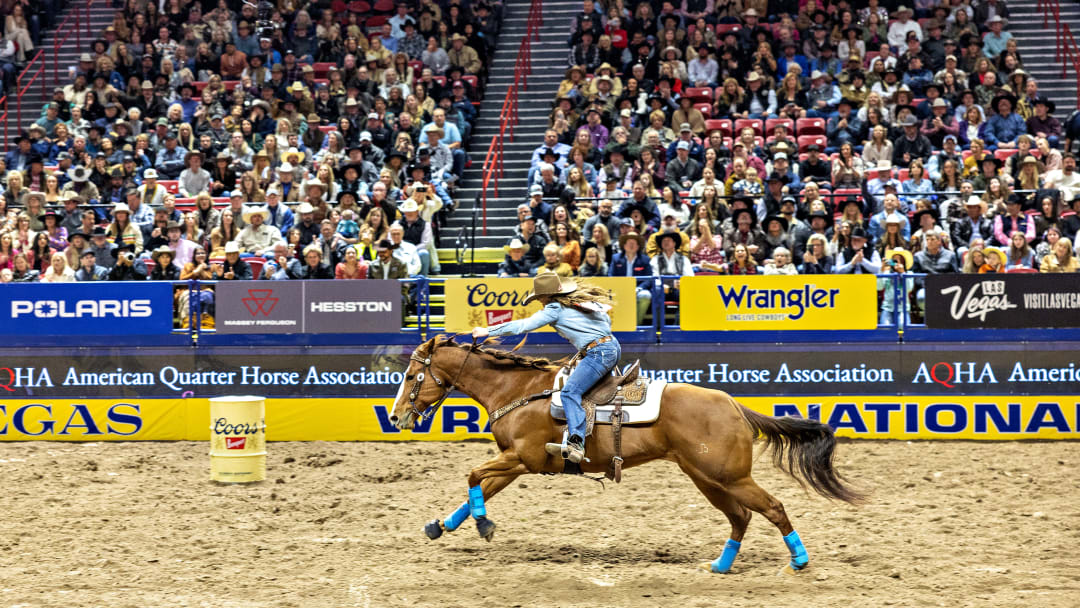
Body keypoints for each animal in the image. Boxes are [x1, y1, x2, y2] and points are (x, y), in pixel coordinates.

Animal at [390, 335, 863, 574]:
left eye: (412, 375)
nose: (395, 416)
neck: (521, 392)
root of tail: (733, 405)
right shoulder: (516, 462)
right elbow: (480, 486)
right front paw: (442, 525)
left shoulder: (524, 459)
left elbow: (473, 476)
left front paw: (484, 525)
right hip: (707, 477)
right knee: (741, 516)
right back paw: (720, 565)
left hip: (728, 476)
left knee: (772, 507)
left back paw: (799, 560)